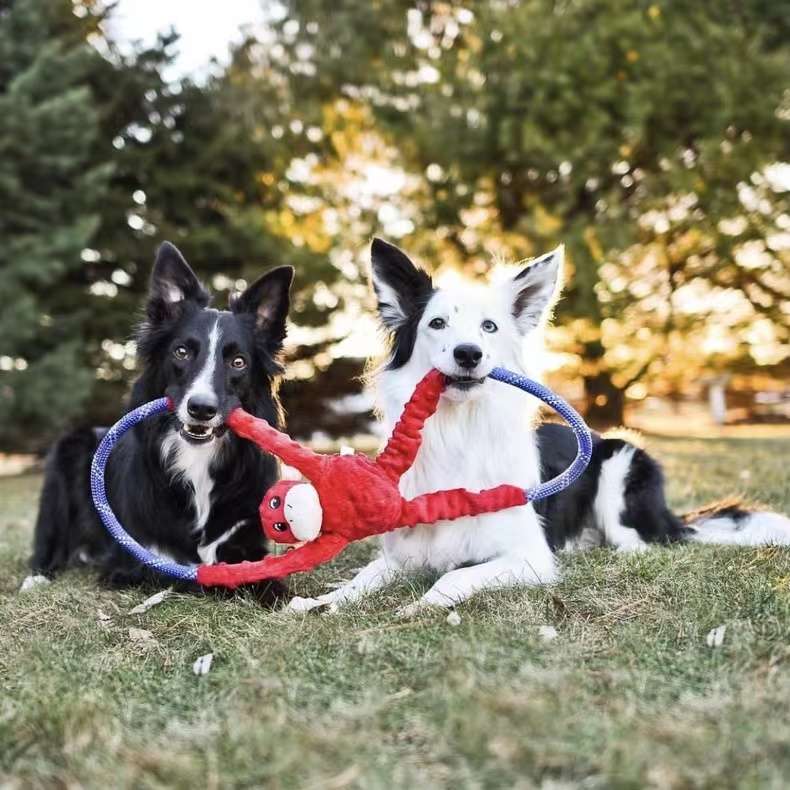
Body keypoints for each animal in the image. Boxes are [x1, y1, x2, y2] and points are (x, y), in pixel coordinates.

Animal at [24, 241, 294, 600]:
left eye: (238, 362)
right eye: (181, 352)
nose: (201, 409)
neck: (195, 458)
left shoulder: (246, 543)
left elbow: (262, 576)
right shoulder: (133, 564)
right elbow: (191, 576)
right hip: (69, 451)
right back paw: (37, 577)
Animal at [290, 238, 790, 616]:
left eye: (489, 327)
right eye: (437, 323)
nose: (469, 353)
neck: (461, 432)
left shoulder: (528, 557)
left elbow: (454, 576)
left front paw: (416, 607)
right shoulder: (403, 552)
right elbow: (362, 577)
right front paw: (320, 601)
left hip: (623, 462)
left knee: (638, 542)